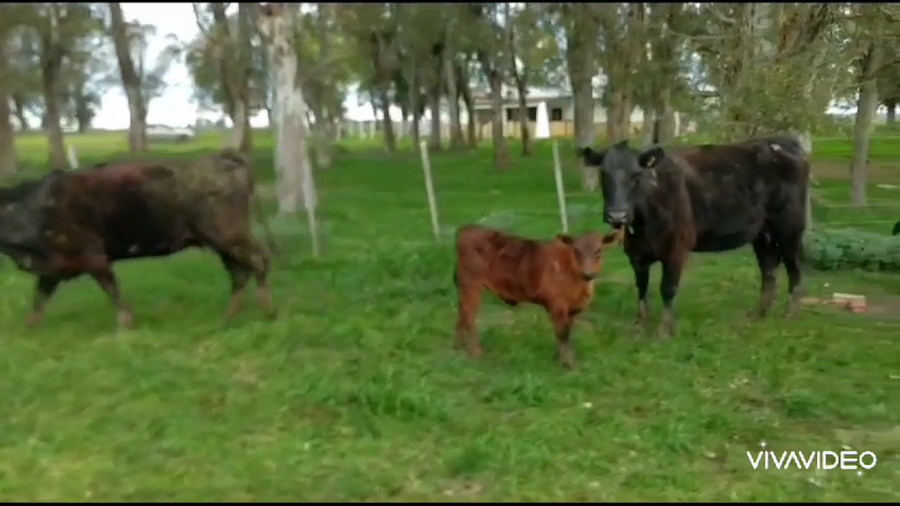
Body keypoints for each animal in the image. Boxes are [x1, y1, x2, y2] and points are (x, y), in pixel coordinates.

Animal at [0, 149, 276, 329]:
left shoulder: (94, 256)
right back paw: (229, 317)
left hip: (229, 235)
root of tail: (223, 156)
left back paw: (266, 310)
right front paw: (28, 332)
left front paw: (127, 325)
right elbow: (38, 300)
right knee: (239, 273)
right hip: (220, 242)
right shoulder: (53, 268)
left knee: (258, 260)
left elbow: (112, 290)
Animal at [453, 224, 621, 369]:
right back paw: (476, 353)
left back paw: (458, 348)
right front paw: (568, 364)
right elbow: (563, 334)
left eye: (598, 251)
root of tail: (467, 229)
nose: (588, 273)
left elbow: (567, 334)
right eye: (576, 251)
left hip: (464, 289)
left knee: (461, 314)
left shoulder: (572, 309)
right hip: (472, 286)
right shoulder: (557, 304)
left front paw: (560, 358)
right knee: (469, 318)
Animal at [579, 135, 810, 338]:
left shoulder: (676, 248)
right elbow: (642, 288)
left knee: (795, 266)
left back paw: (791, 314)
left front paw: (665, 330)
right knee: (769, 268)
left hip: (790, 226)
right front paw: (640, 325)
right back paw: (759, 314)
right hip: (763, 233)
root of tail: (785, 141)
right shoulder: (636, 253)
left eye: (637, 174)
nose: (617, 214)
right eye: (603, 173)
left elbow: (667, 288)